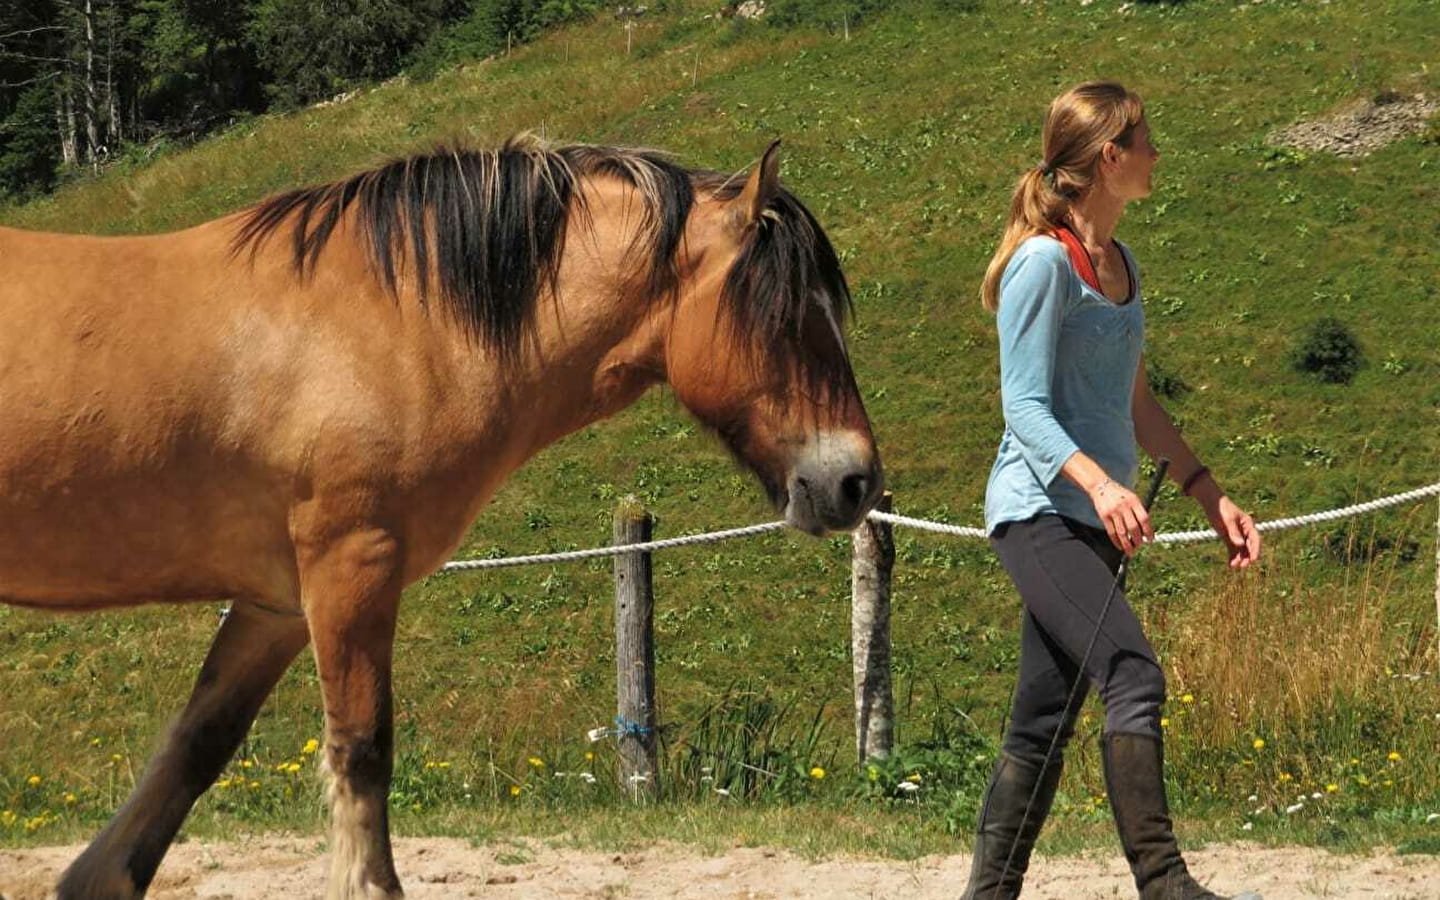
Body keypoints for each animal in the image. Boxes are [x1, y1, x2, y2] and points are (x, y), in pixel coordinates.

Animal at [0, 135, 881, 898]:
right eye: (791, 315)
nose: (855, 481)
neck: (387, 321)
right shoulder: (353, 568)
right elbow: (361, 751)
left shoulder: (275, 605)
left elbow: (195, 749)